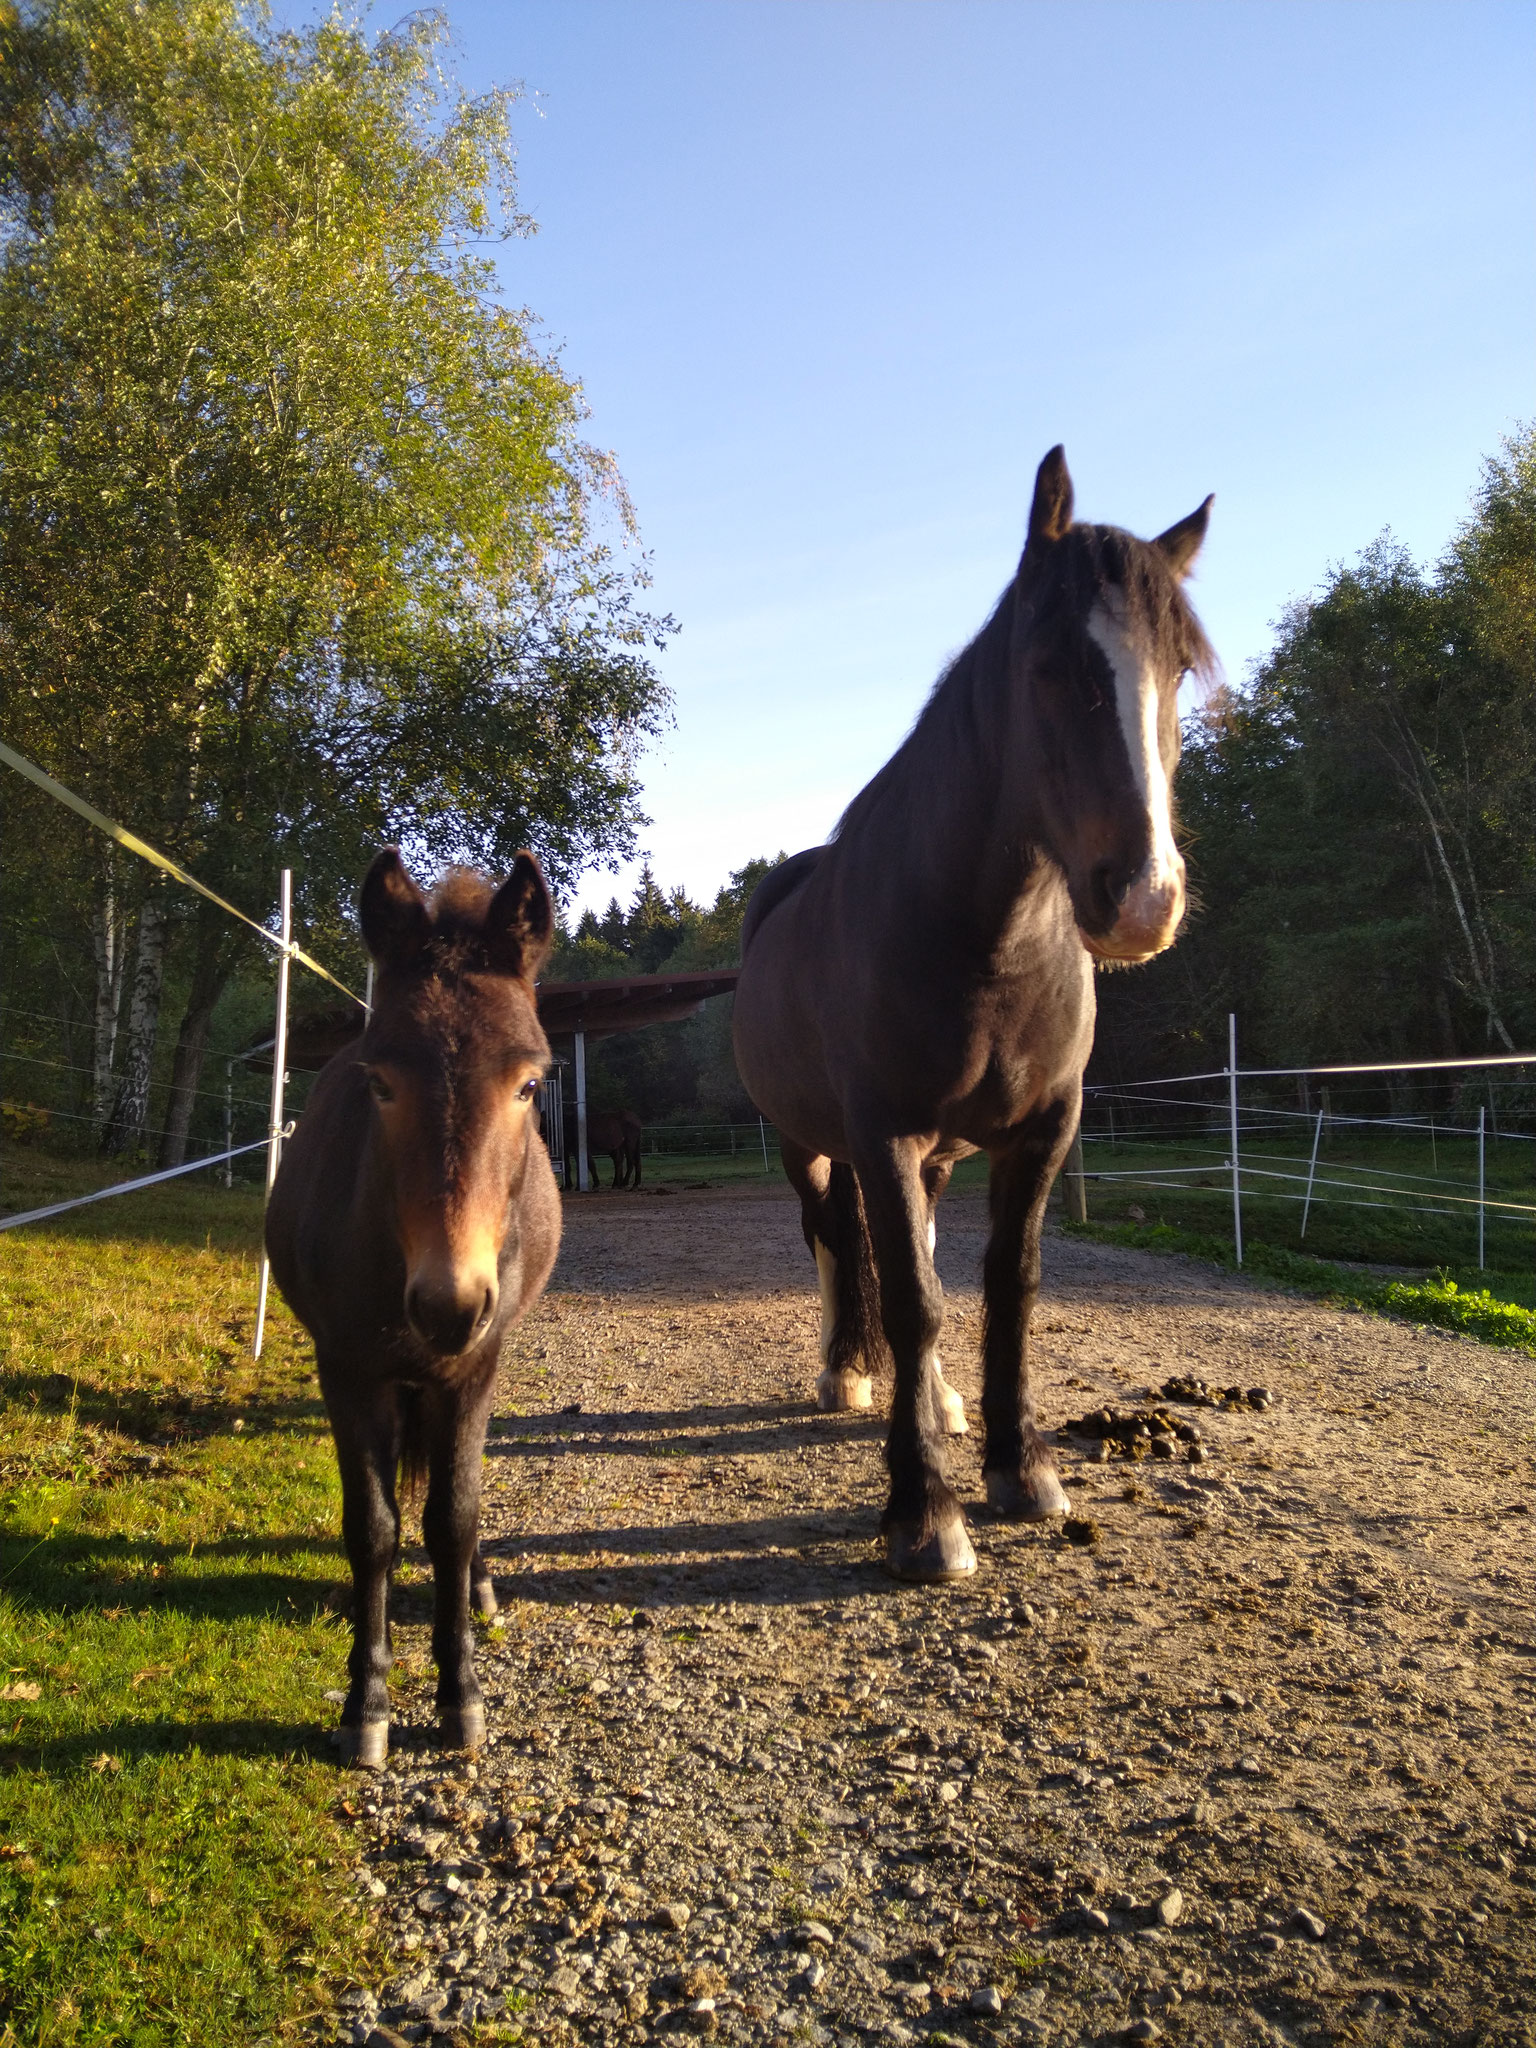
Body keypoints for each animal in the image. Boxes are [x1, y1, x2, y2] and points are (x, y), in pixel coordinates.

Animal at [268, 847, 561, 1761]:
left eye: (528, 1084)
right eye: (380, 1082)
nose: (449, 1303)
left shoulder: (474, 1367)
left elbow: (453, 1518)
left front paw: (459, 1693)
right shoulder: (348, 1369)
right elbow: (374, 1529)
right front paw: (366, 1705)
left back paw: (480, 1590)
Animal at [733, 448, 1212, 1581]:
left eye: (1179, 670)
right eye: (1052, 666)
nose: (1145, 898)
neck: (987, 942)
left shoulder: (1040, 1131)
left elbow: (1003, 1283)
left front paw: (1017, 1465)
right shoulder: (881, 1132)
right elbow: (909, 1295)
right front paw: (923, 1515)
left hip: (939, 1152)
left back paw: (939, 1398)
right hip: (809, 1142)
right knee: (831, 1239)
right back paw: (843, 1373)